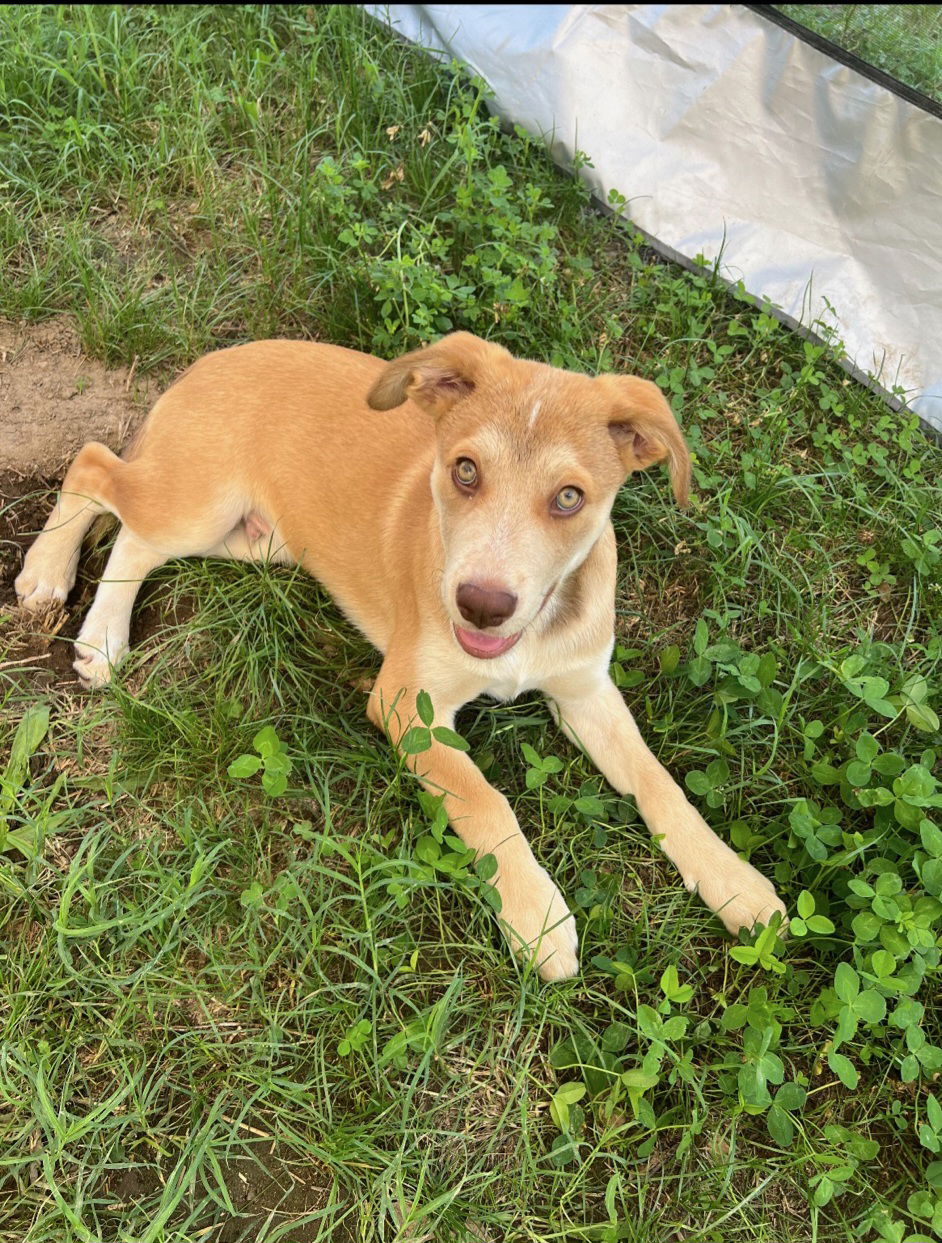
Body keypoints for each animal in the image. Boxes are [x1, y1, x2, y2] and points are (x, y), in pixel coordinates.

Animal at [16, 333, 790, 979]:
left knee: (136, 537)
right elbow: (485, 798)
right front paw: (537, 915)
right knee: (95, 465)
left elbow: (660, 783)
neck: (529, 633)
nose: (480, 606)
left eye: (570, 497)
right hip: (200, 499)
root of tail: (211, 360)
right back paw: (52, 575)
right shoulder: (406, 705)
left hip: (258, 539)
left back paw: (101, 636)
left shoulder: (585, 691)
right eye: (466, 471)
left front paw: (735, 882)